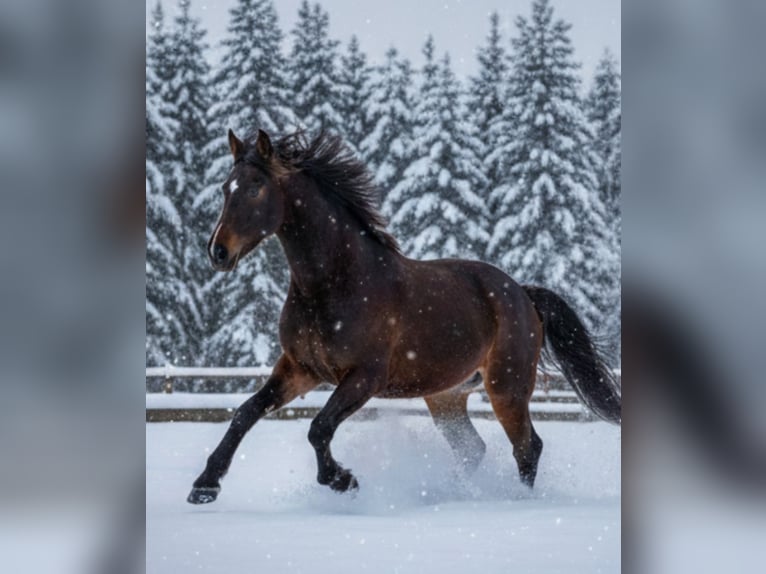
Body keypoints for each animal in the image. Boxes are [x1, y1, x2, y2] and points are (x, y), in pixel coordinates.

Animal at [187, 129, 621, 504]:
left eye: (255, 187)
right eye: (225, 188)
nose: (218, 251)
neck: (334, 283)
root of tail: (521, 292)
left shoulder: (365, 376)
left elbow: (318, 428)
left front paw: (344, 480)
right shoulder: (299, 369)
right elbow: (245, 413)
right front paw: (205, 485)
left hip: (507, 387)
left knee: (528, 447)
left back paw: (516, 500)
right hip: (446, 397)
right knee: (474, 449)